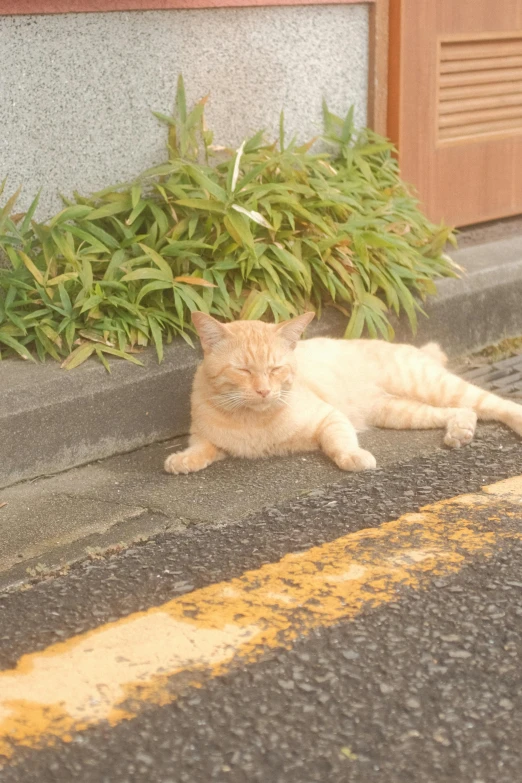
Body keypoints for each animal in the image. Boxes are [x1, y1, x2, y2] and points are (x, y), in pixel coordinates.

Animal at [162, 310, 520, 472]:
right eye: (244, 370)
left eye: (276, 369)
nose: (264, 391)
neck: (254, 421)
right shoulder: (206, 435)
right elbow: (202, 447)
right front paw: (184, 460)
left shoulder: (330, 417)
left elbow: (339, 443)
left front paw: (353, 457)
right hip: (400, 412)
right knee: (461, 412)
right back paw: (460, 431)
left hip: (432, 385)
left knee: (495, 404)